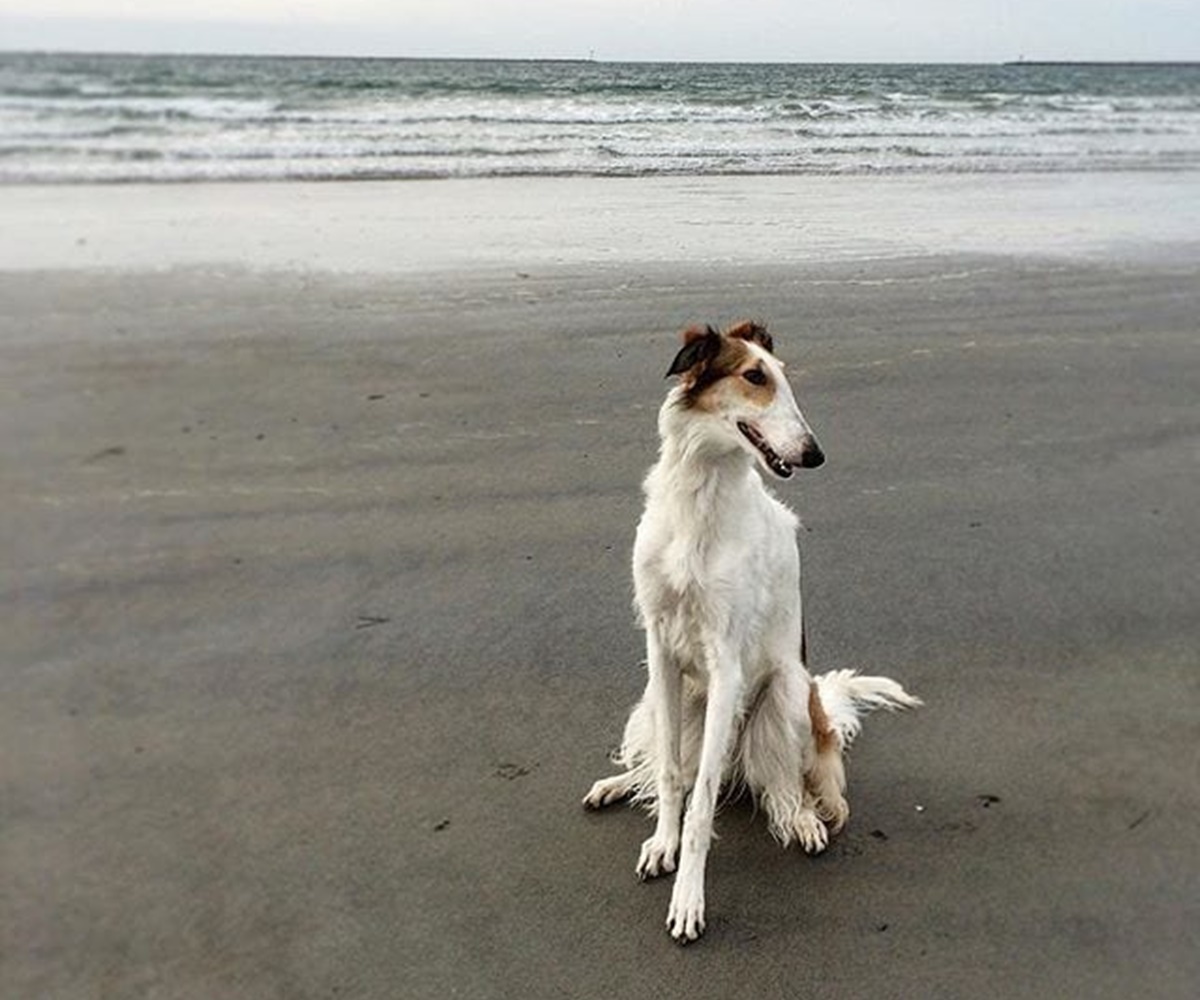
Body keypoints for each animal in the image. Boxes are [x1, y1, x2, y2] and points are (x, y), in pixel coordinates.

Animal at [585, 321, 921, 945]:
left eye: (783, 377)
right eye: (753, 376)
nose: (815, 454)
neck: (701, 499)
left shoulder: (727, 664)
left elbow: (700, 807)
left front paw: (688, 898)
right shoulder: (660, 649)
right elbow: (671, 775)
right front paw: (662, 843)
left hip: (787, 694)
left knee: (786, 785)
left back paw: (804, 818)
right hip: (660, 702)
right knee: (667, 766)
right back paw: (616, 785)